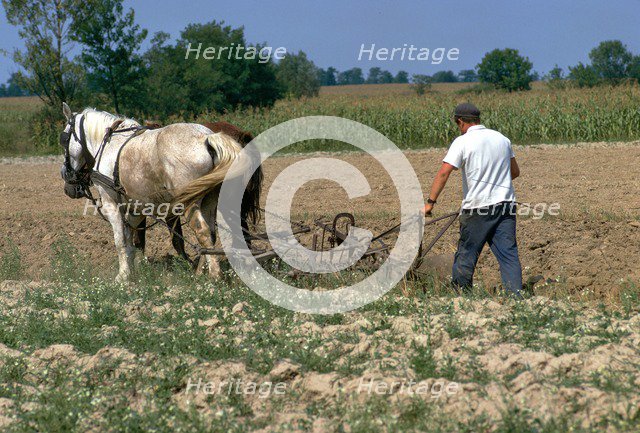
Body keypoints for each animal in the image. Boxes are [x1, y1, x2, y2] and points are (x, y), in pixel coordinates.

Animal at [59, 103, 260, 282]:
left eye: (63, 138)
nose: (65, 177)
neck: (109, 145)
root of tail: (207, 138)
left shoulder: (111, 204)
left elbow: (120, 241)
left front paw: (122, 276)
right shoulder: (136, 208)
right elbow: (130, 238)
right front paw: (132, 271)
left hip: (189, 202)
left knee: (203, 231)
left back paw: (215, 275)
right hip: (210, 200)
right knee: (211, 233)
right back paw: (201, 271)